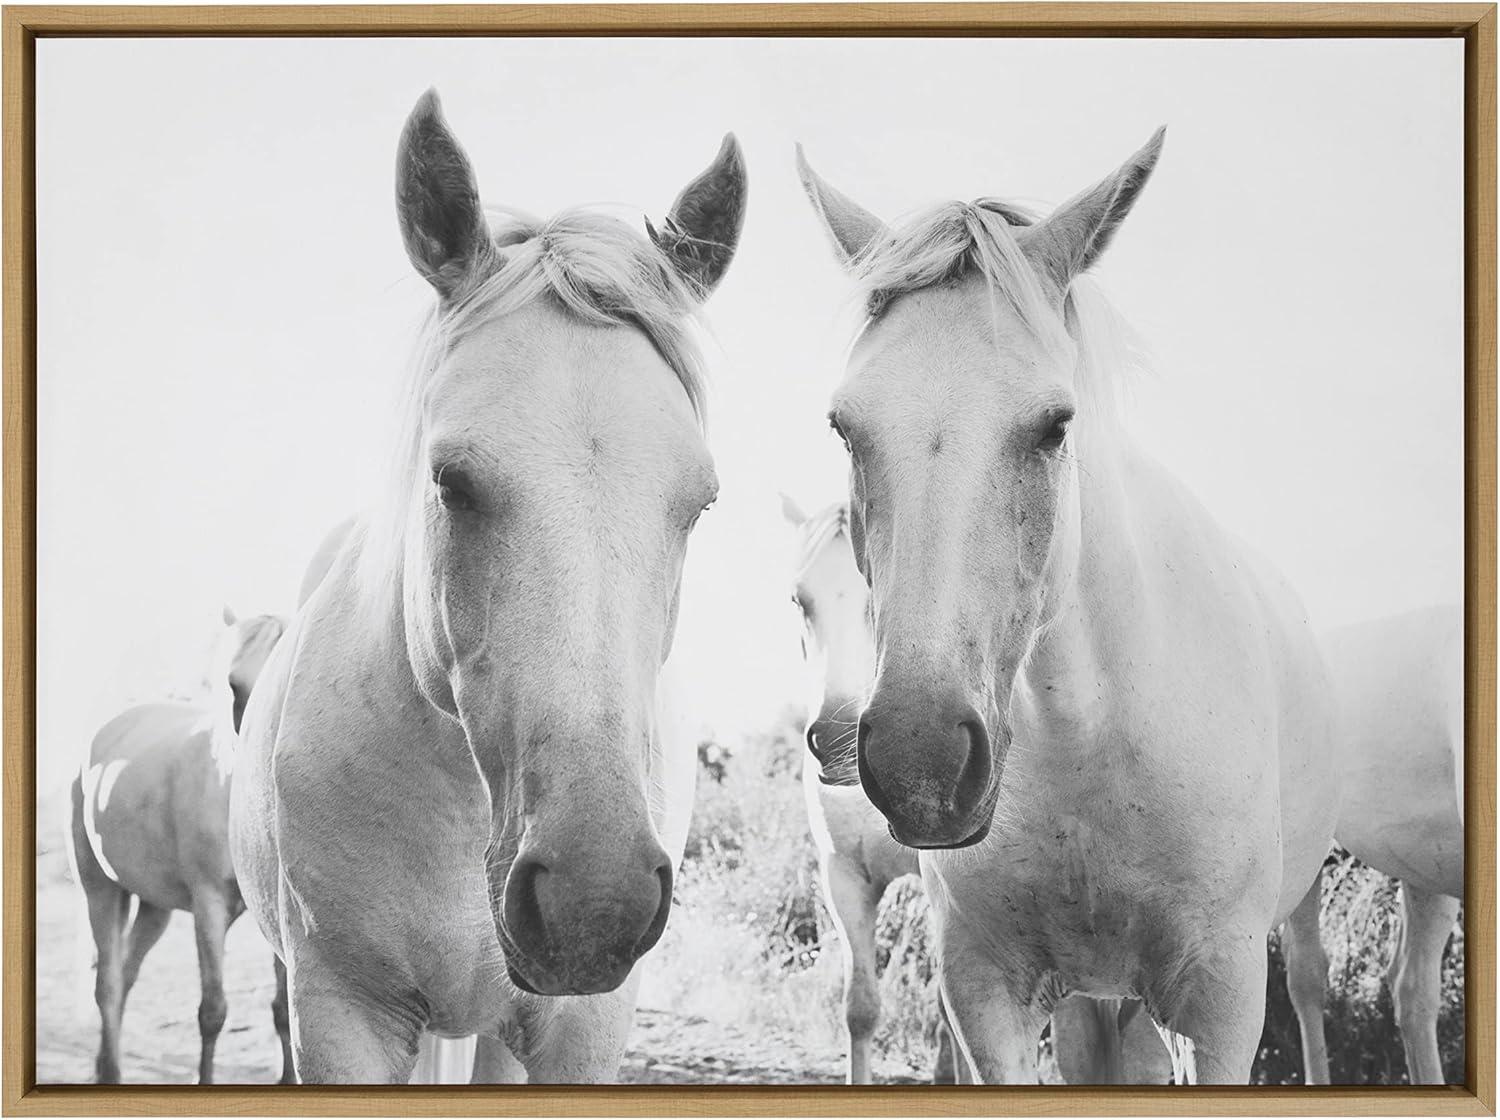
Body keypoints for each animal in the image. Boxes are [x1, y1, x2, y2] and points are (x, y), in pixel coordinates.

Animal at [67, 608, 289, 1079]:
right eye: (232, 683)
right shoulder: (208, 905)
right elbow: (213, 1011)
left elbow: (284, 1009)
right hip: (100, 890)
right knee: (108, 984)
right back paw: (110, 1071)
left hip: (155, 907)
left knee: (128, 973)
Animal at [798, 133, 1338, 1085]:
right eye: (844, 427)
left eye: (1055, 424)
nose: (920, 761)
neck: (1089, 737)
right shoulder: (985, 992)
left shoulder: (1221, 1000)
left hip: (1291, 912)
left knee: (1308, 988)